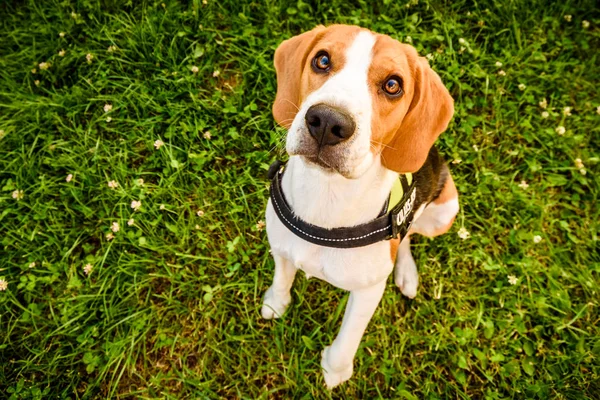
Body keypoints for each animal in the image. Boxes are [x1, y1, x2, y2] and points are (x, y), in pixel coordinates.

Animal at [260, 24, 458, 388]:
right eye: (322, 60)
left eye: (393, 85)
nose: (327, 121)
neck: (326, 197)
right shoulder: (280, 247)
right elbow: (282, 279)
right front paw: (276, 303)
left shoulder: (368, 292)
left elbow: (349, 337)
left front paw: (334, 371)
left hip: (444, 213)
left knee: (408, 234)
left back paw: (406, 273)